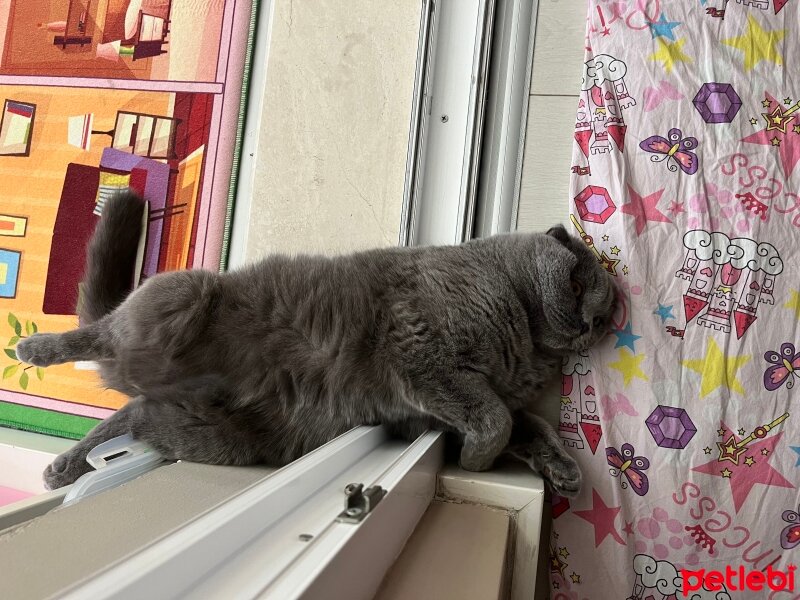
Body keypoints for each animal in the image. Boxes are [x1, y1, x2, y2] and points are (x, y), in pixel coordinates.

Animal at [18, 192, 620, 496]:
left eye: (602, 315)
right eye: (576, 284)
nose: (589, 323)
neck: (523, 335)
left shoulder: (453, 405)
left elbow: (528, 425)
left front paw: (561, 470)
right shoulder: (424, 355)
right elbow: (495, 419)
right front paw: (479, 460)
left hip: (213, 435)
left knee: (128, 415)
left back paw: (64, 468)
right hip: (174, 300)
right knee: (97, 336)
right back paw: (34, 352)